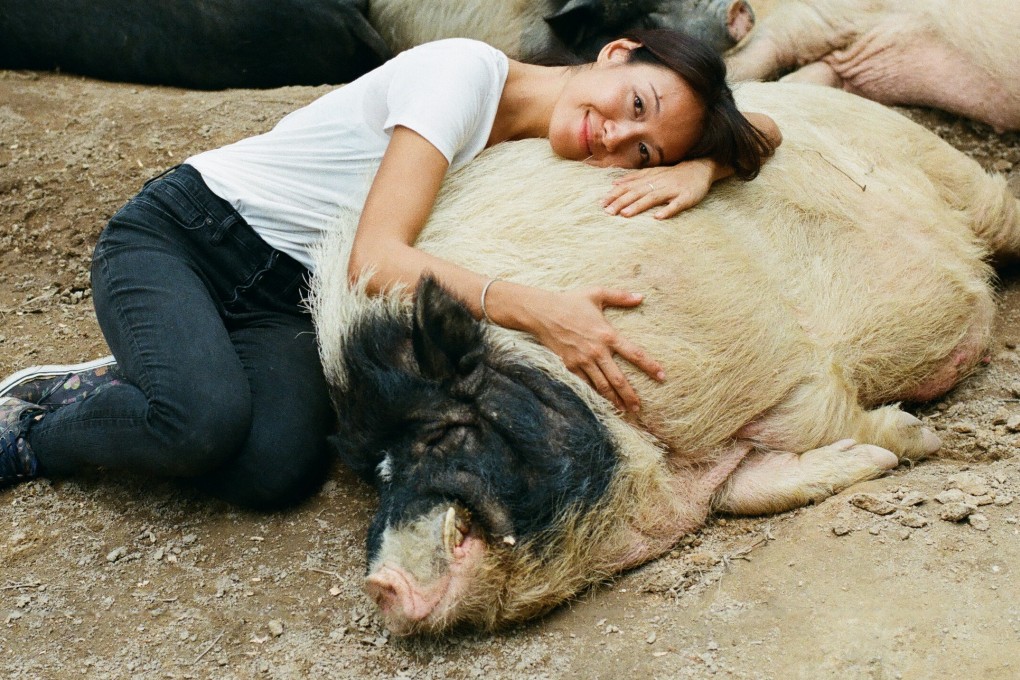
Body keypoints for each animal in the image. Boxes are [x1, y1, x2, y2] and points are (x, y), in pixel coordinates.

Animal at [309, 81, 1020, 634]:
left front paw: (918, 439)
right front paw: (880, 453)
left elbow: (822, 415)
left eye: (444, 431)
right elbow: (746, 490)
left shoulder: (772, 361)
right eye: (375, 474)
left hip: (962, 178)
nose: (382, 586)